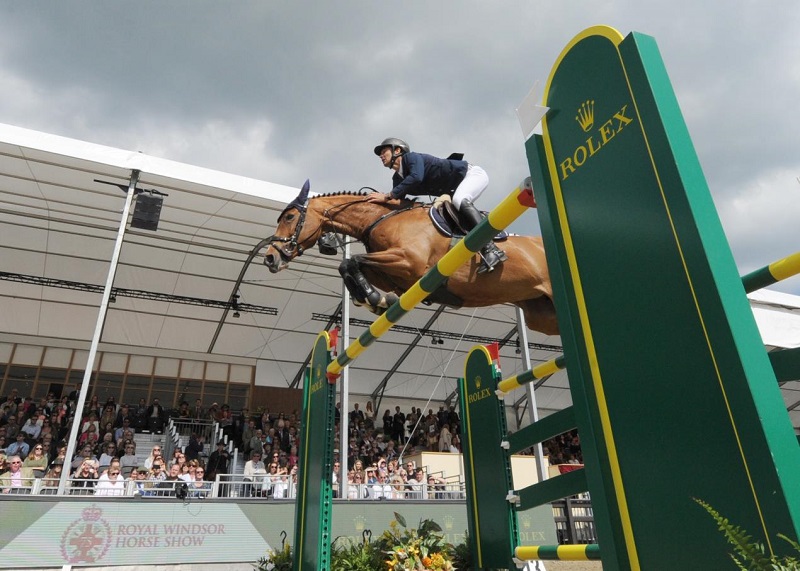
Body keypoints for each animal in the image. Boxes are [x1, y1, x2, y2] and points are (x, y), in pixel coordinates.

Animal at [262, 182, 556, 336]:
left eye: (289, 217)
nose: (270, 259)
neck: (381, 218)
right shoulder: (397, 276)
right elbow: (351, 267)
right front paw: (377, 301)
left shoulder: (409, 261)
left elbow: (351, 261)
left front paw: (373, 299)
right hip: (541, 315)